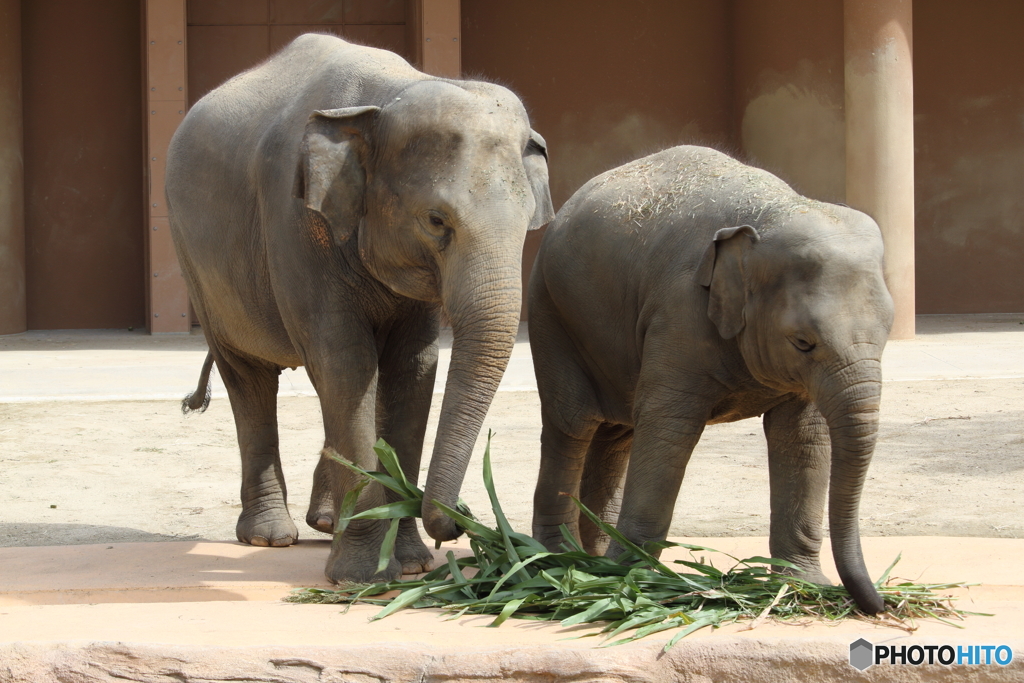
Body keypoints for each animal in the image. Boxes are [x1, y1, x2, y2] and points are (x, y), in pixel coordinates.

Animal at [167, 34, 552, 585]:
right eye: (436, 220)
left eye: (528, 224)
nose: (462, 520)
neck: (387, 99)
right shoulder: (296, 224)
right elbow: (347, 363)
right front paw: (359, 576)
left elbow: (412, 370)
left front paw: (411, 565)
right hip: (196, 265)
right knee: (248, 378)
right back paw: (269, 537)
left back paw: (326, 522)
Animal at [532, 144, 892, 614]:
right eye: (803, 342)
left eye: (889, 329)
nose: (881, 604)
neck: (773, 212)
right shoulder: (679, 314)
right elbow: (669, 430)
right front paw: (634, 584)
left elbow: (802, 437)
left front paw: (802, 586)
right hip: (550, 311)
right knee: (572, 423)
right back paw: (557, 562)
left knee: (617, 434)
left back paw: (592, 562)